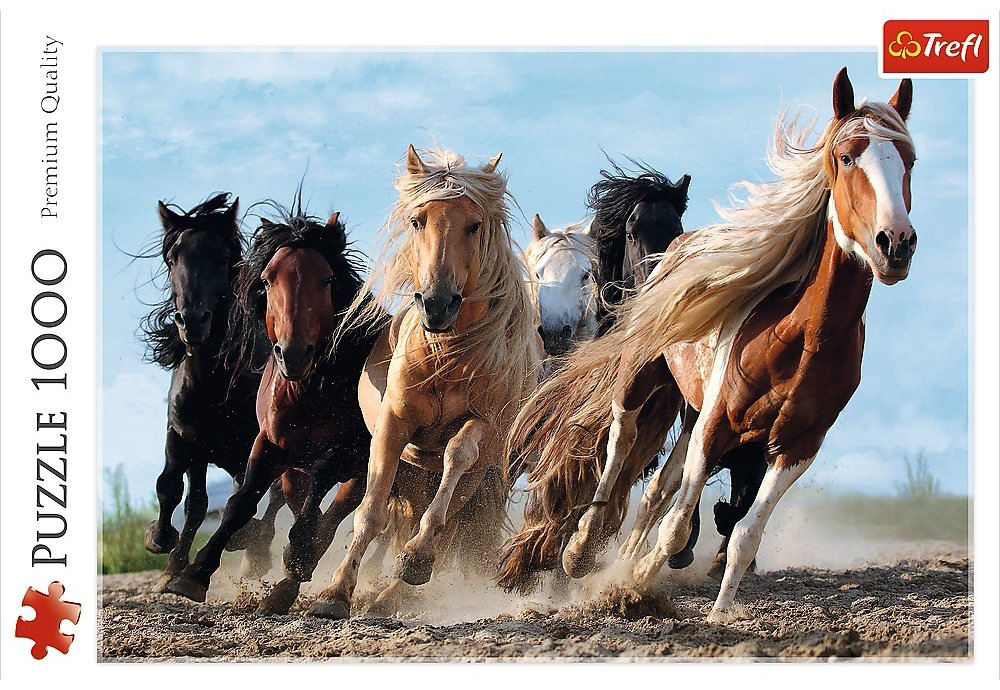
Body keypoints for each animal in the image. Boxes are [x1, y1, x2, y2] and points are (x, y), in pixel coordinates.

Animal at [140, 193, 280, 591]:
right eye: (173, 258)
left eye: (222, 258)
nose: (192, 321)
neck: (213, 384)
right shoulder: (185, 436)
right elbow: (178, 491)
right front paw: (164, 549)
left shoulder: (255, 444)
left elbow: (247, 496)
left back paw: (254, 551)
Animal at [163, 203, 382, 609]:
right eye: (266, 281)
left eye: (327, 280)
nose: (293, 353)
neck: (309, 391)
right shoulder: (269, 444)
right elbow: (241, 502)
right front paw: (194, 574)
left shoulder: (354, 451)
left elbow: (322, 481)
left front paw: (297, 553)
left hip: (361, 471)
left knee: (333, 515)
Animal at [305, 145, 541, 620]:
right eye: (418, 221)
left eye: (474, 224)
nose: (437, 304)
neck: (446, 357)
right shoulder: (393, 427)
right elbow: (371, 513)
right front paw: (335, 593)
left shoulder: (482, 425)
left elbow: (456, 456)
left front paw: (415, 559)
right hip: (415, 475)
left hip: (479, 477)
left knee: (447, 522)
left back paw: (398, 587)